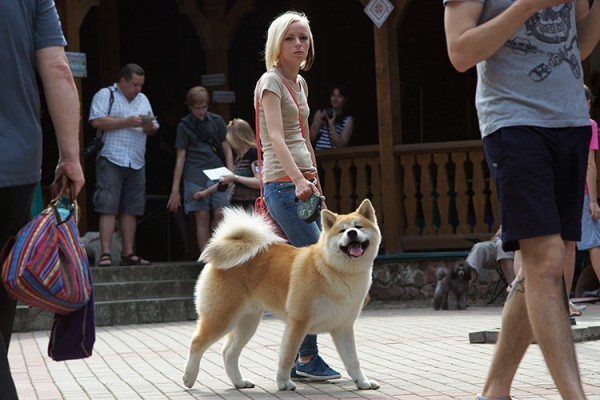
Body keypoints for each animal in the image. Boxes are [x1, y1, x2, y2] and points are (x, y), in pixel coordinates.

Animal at [180, 198, 382, 392]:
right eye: (342, 231)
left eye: (358, 227)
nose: (352, 234)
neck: (334, 269)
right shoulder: (298, 323)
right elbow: (287, 356)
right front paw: (284, 383)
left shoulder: (343, 327)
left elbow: (353, 361)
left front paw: (362, 383)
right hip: (222, 317)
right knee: (197, 342)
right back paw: (189, 377)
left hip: (248, 322)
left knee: (228, 353)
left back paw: (240, 382)